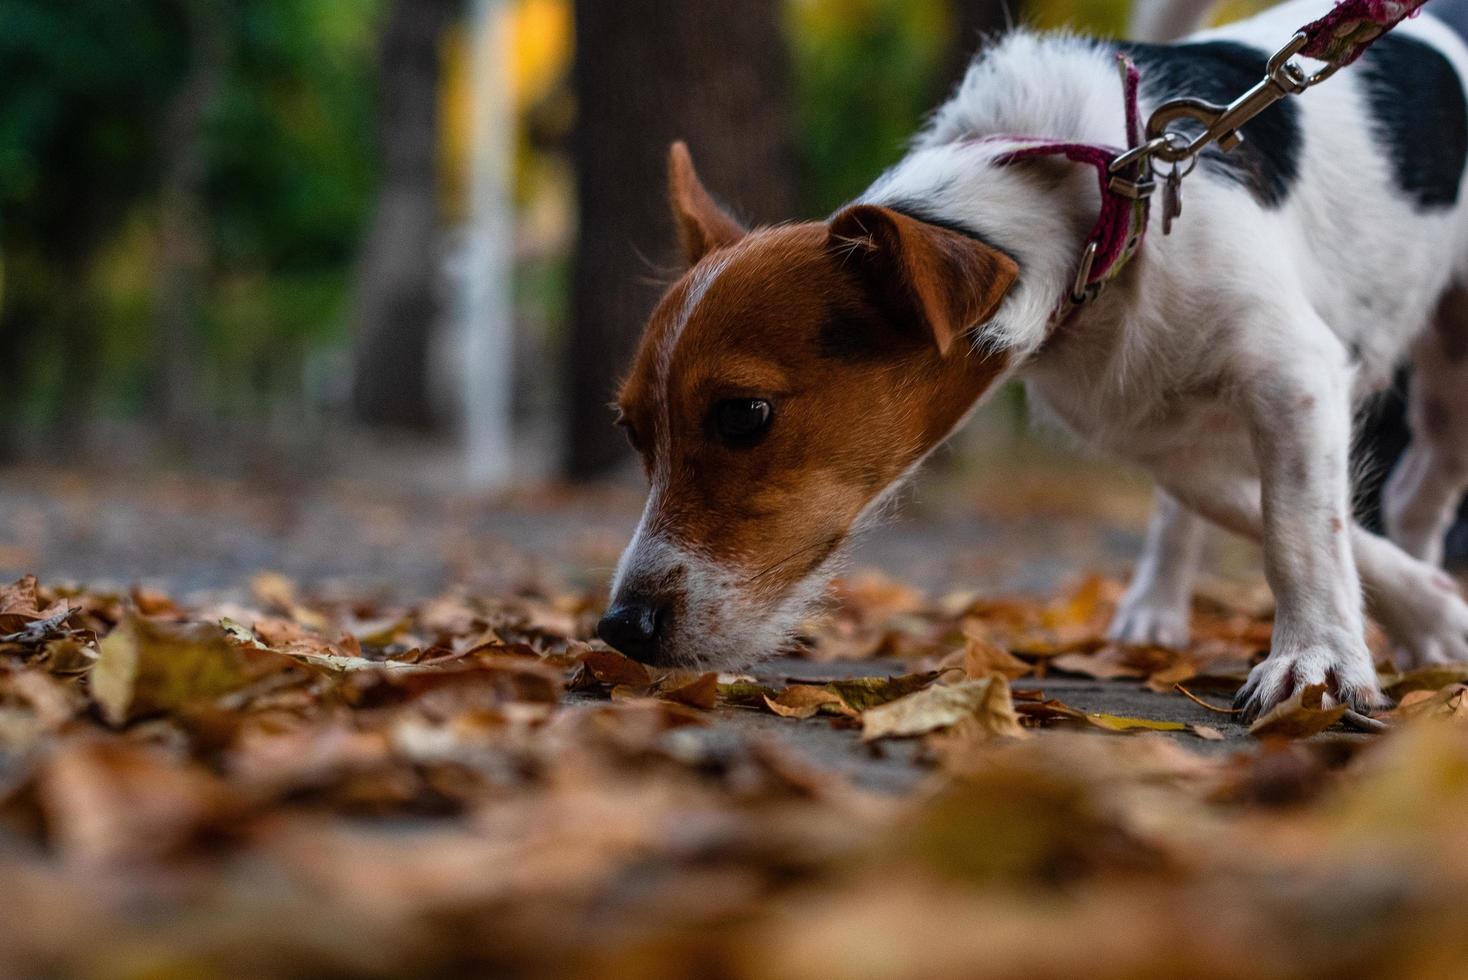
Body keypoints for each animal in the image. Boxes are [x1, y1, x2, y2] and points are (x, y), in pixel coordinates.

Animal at [593, 0, 1468, 718]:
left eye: (744, 415)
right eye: (632, 432)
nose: (618, 628)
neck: (1098, 198)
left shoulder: (1292, 374)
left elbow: (1299, 527)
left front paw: (1316, 657)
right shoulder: (1159, 436)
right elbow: (1280, 517)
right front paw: (1426, 610)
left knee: (1420, 484)